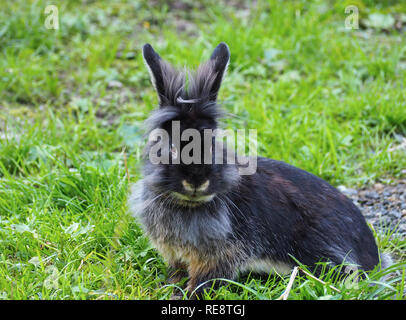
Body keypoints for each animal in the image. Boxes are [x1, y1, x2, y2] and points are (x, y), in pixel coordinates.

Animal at [129, 42, 390, 298]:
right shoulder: (177, 256)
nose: (196, 182)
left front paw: (189, 296)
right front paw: (170, 289)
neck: (187, 204)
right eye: (170, 148)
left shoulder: (218, 258)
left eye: (214, 144)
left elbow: (204, 281)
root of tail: (373, 257)